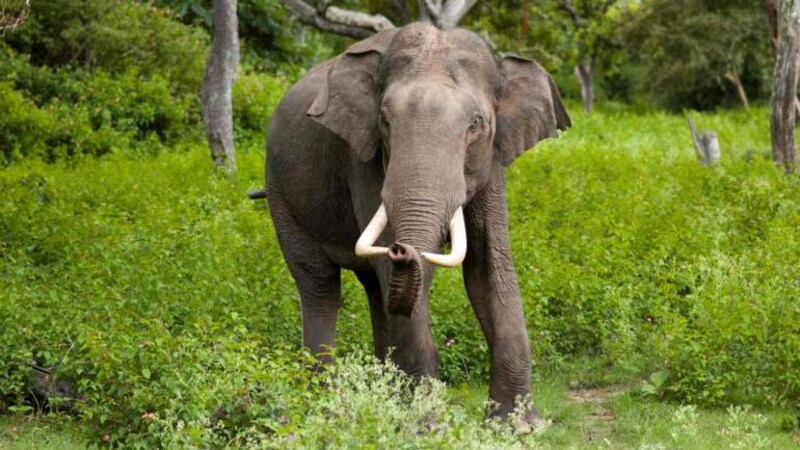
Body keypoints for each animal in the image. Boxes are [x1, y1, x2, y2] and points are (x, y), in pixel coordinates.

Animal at [258, 22, 570, 424]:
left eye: (476, 124)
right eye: (385, 121)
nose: (401, 248)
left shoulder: (493, 161)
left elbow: (488, 266)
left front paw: (518, 427)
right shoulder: (363, 157)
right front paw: (426, 425)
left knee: (375, 291)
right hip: (281, 195)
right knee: (321, 287)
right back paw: (324, 405)